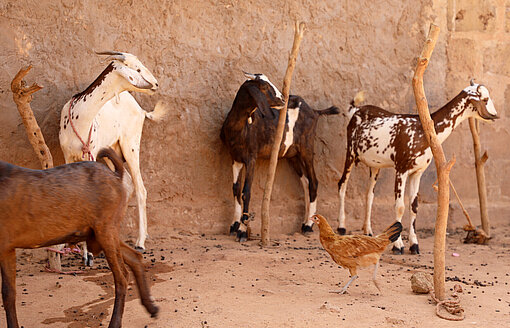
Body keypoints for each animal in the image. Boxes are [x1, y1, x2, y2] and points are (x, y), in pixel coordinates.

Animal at [0, 149, 158, 328]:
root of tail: (116, 175)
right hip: (101, 232)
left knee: (122, 277)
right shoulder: (5, 248)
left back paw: (116, 322)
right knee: (134, 256)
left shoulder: (5, 245)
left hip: (106, 229)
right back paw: (151, 307)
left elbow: (8, 293)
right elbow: (7, 293)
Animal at [219, 72, 338, 241]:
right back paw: (305, 222)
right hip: (293, 155)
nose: (282, 99)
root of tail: (315, 111)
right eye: (263, 86)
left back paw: (309, 226)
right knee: (306, 182)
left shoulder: (251, 157)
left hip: (307, 148)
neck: (239, 126)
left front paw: (242, 231)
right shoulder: (235, 157)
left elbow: (246, 192)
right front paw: (234, 225)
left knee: (314, 182)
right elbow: (236, 189)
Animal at [336, 80, 500, 255]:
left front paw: (414, 245)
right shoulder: (401, 169)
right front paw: (398, 246)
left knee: (369, 194)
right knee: (342, 185)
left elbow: (414, 207)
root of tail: (355, 110)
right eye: (485, 99)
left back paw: (368, 231)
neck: (422, 129)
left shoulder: (417, 172)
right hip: (350, 153)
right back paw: (342, 227)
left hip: (375, 165)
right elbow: (400, 206)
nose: (495, 115)